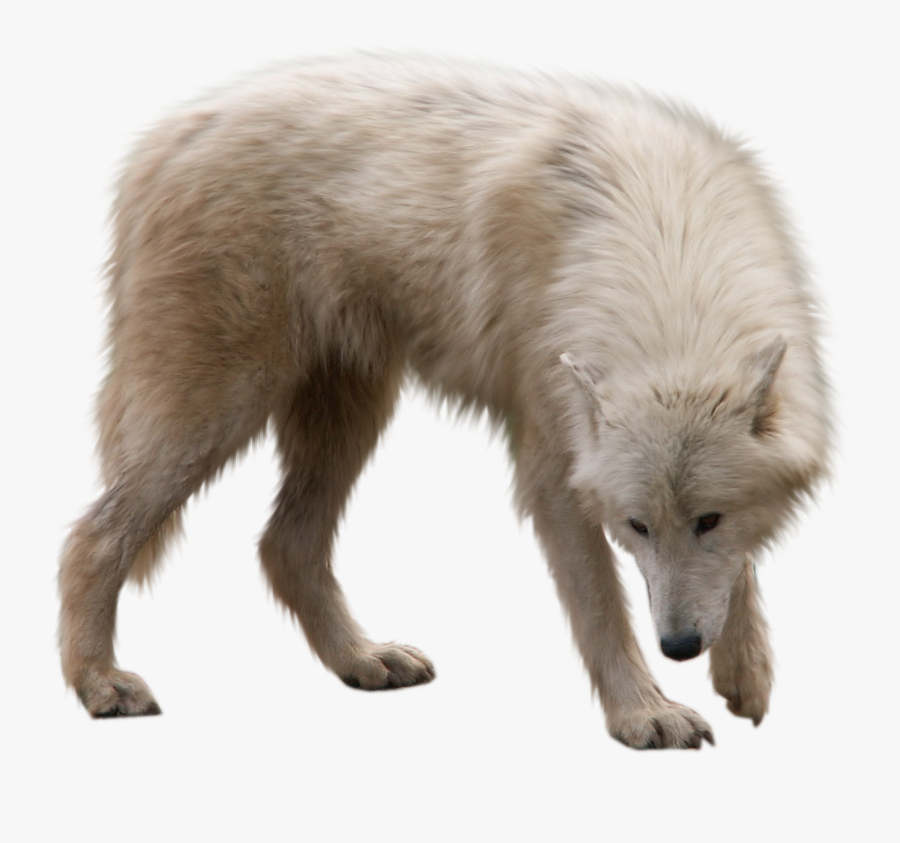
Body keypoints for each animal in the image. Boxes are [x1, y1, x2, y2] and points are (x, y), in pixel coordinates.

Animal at [59, 56, 831, 748]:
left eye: (708, 519)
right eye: (636, 527)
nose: (678, 646)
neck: (667, 245)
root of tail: (164, 136)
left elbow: (738, 568)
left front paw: (744, 673)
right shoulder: (553, 470)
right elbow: (602, 608)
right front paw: (645, 714)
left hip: (353, 408)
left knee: (285, 544)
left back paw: (362, 660)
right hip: (220, 405)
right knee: (93, 536)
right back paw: (99, 683)